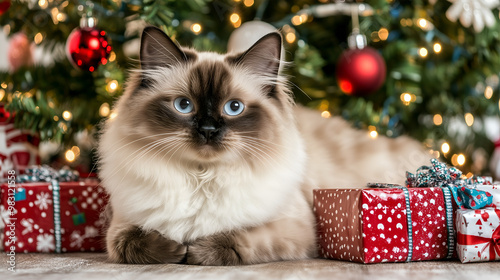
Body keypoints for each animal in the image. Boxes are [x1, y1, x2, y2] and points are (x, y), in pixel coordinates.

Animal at [98, 26, 430, 264]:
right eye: (183, 105)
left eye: (234, 108)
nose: (208, 130)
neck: (203, 176)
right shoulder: (122, 225)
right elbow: (130, 242)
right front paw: (177, 249)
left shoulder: (299, 229)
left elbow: (238, 237)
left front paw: (195, 250)